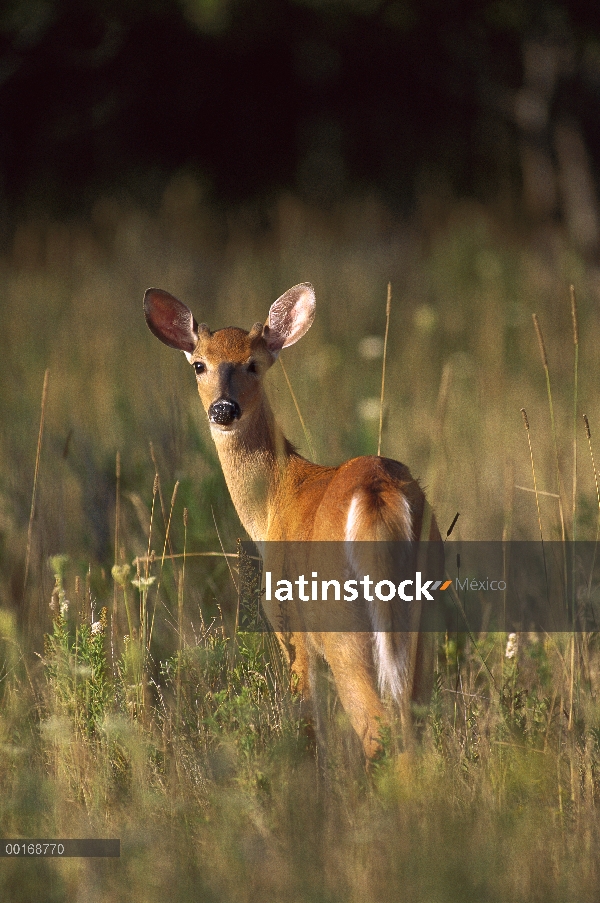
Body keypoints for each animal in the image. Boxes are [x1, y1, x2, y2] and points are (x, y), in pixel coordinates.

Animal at [145, 282, 440, 764]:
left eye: (253, 363)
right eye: (199, 364)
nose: (223, 409)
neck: (273, 501)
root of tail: (377, 491)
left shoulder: (289, 626)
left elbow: (305, 723)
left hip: (340, 624)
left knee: (378, 730)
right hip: (423, 616)